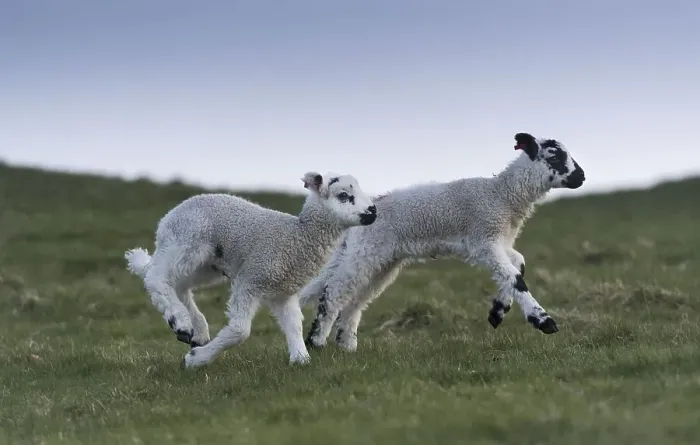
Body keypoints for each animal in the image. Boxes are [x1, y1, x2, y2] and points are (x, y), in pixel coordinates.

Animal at [124, 171, 377, 367]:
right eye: (344, 196)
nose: (373, 211)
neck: (297, 236)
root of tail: (168, 217)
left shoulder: (283, 292)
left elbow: (294, 325)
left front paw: (300, 358)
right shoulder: (251, 279)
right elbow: (240, 330)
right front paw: (195, 360)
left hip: (207, 264)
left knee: (180, 285)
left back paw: (196, 331)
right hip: (187, 242)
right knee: (155, 277)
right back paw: (181, 322)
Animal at [300, 132, 586, 352]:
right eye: (554, 156)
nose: (581, 177)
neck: (503, 195)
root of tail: (358, 218)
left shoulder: (499, 242)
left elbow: (518, 265)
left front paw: (497, 311)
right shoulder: (484, 240)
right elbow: (515, 277)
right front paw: (544, 322)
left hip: (383, 261)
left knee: (355, 301)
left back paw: (346, 346)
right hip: (366, 251)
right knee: (334, 292)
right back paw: (316, 341)